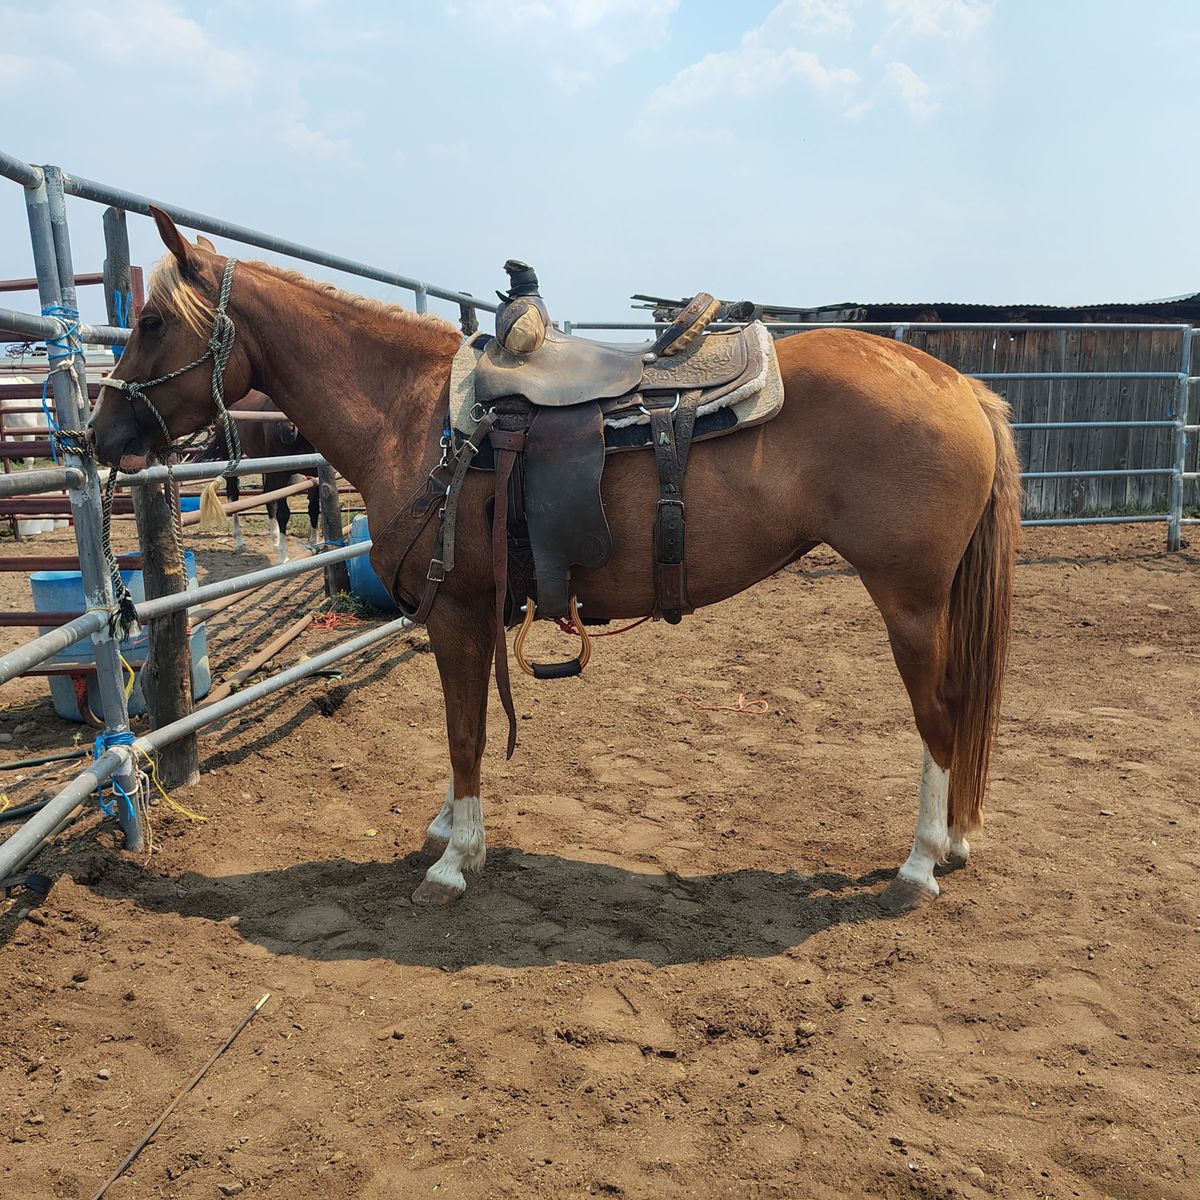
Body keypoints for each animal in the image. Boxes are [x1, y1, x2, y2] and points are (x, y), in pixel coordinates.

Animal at [88, 209, 1021, 914]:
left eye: (151, 322)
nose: (99, 434)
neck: (415, 415)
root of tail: (958, 384)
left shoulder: (458, 612)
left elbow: (465, 732)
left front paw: (455, 859)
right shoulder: (471, 616)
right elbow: (462, 728)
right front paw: (446, 831)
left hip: (909, 601)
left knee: (940, 715)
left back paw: (920, 864)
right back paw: (953, 844)